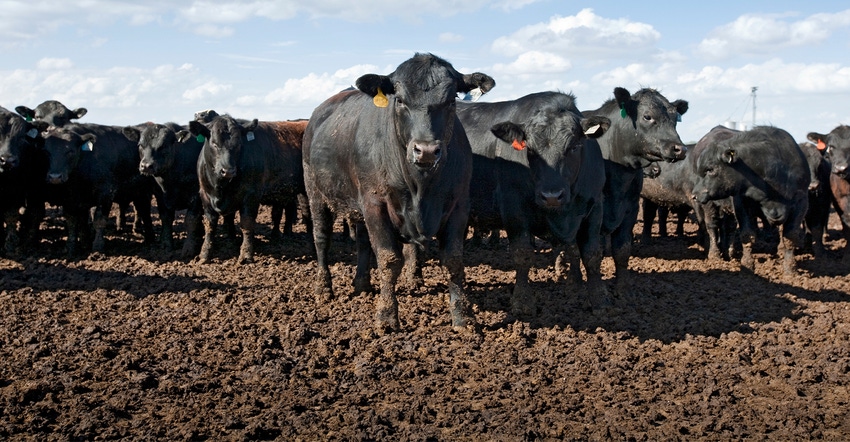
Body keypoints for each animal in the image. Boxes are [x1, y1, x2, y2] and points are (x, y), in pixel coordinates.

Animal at [189, 115, 308, 264]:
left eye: (239, 144)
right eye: (215, 144)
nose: (228, 171)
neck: (221, 187)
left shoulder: (251, 196)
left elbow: (246, 224)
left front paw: (246, 255)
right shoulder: (205, 195)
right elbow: (210, 225)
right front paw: (204, 255)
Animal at [302, 52, 494, 332]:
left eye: (451, 101)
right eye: (400, 100)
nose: (426, 150)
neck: (420, 189)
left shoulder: (459, 205)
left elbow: (453, 259)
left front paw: (463, 317)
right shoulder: (376, 204)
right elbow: (389, 259)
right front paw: (387, 316)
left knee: (362, 242)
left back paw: (362, 284)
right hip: (316, 193)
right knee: (321, 238)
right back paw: (323, 288)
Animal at [458, 91, 608, 316]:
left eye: (574, 146)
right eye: (529, 149)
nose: (551, 195)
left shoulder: (595, 207)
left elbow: (591, 254)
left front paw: (597, 299)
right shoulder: (514, 209)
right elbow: (522, 254)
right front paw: (522, 301)